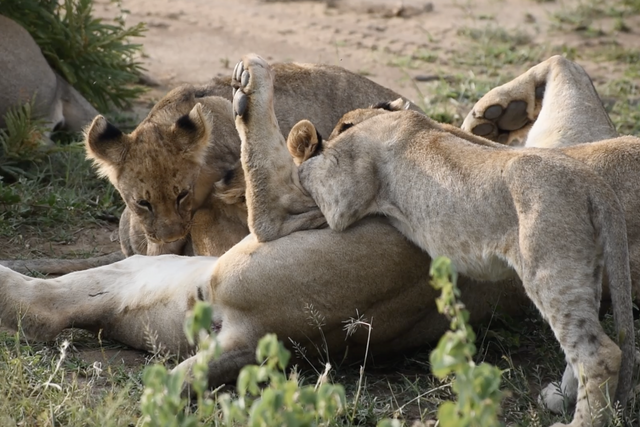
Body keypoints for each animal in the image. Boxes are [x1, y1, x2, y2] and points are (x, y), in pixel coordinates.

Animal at [237, 53, 636, 424]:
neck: (388, 120)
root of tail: (593, 185)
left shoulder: (336, 203)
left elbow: (278, 186)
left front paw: (252, 92)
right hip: (584, 268)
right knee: (588, 340)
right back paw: (561, 396)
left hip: (550, 267)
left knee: (600, 353)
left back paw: (578, 420)